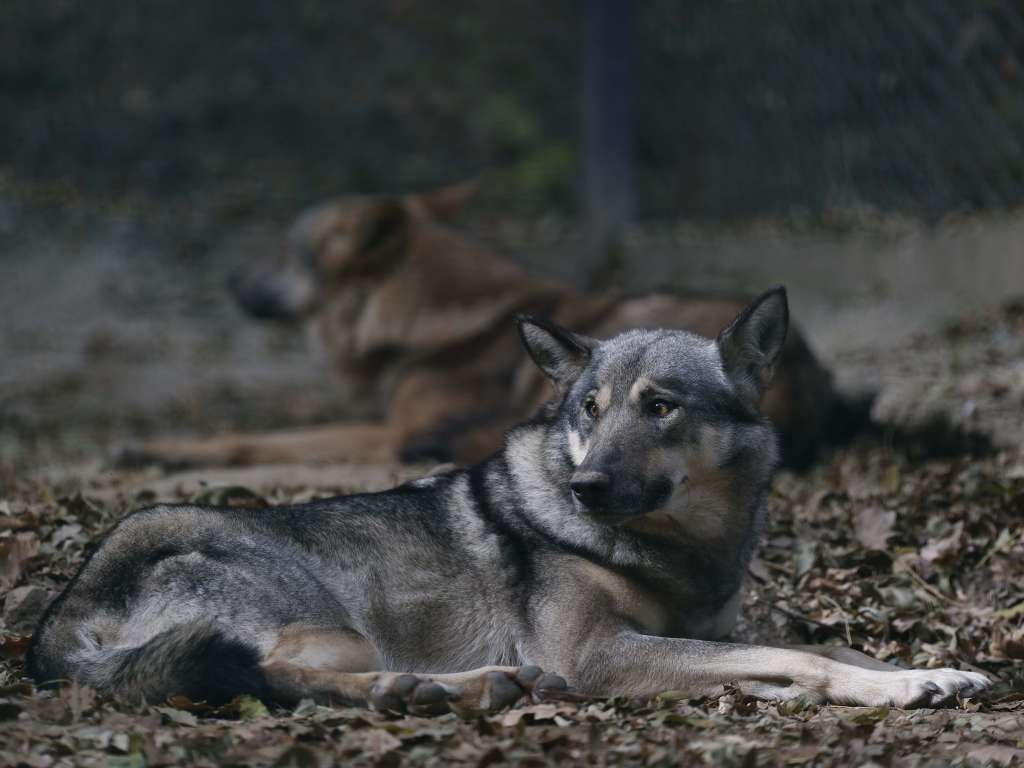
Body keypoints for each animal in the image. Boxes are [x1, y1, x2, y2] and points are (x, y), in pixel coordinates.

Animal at [31, 288, 989, 711]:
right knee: (276, 675)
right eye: (589, 410)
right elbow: (804, 658)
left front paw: (935, 672)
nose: (585, 485)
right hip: (334, 628)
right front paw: (893, 689)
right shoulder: (600, 654)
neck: (684, 550)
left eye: (660, 407)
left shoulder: (711, 631)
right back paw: (444, 688)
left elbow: (835, 648)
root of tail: (59, 614)